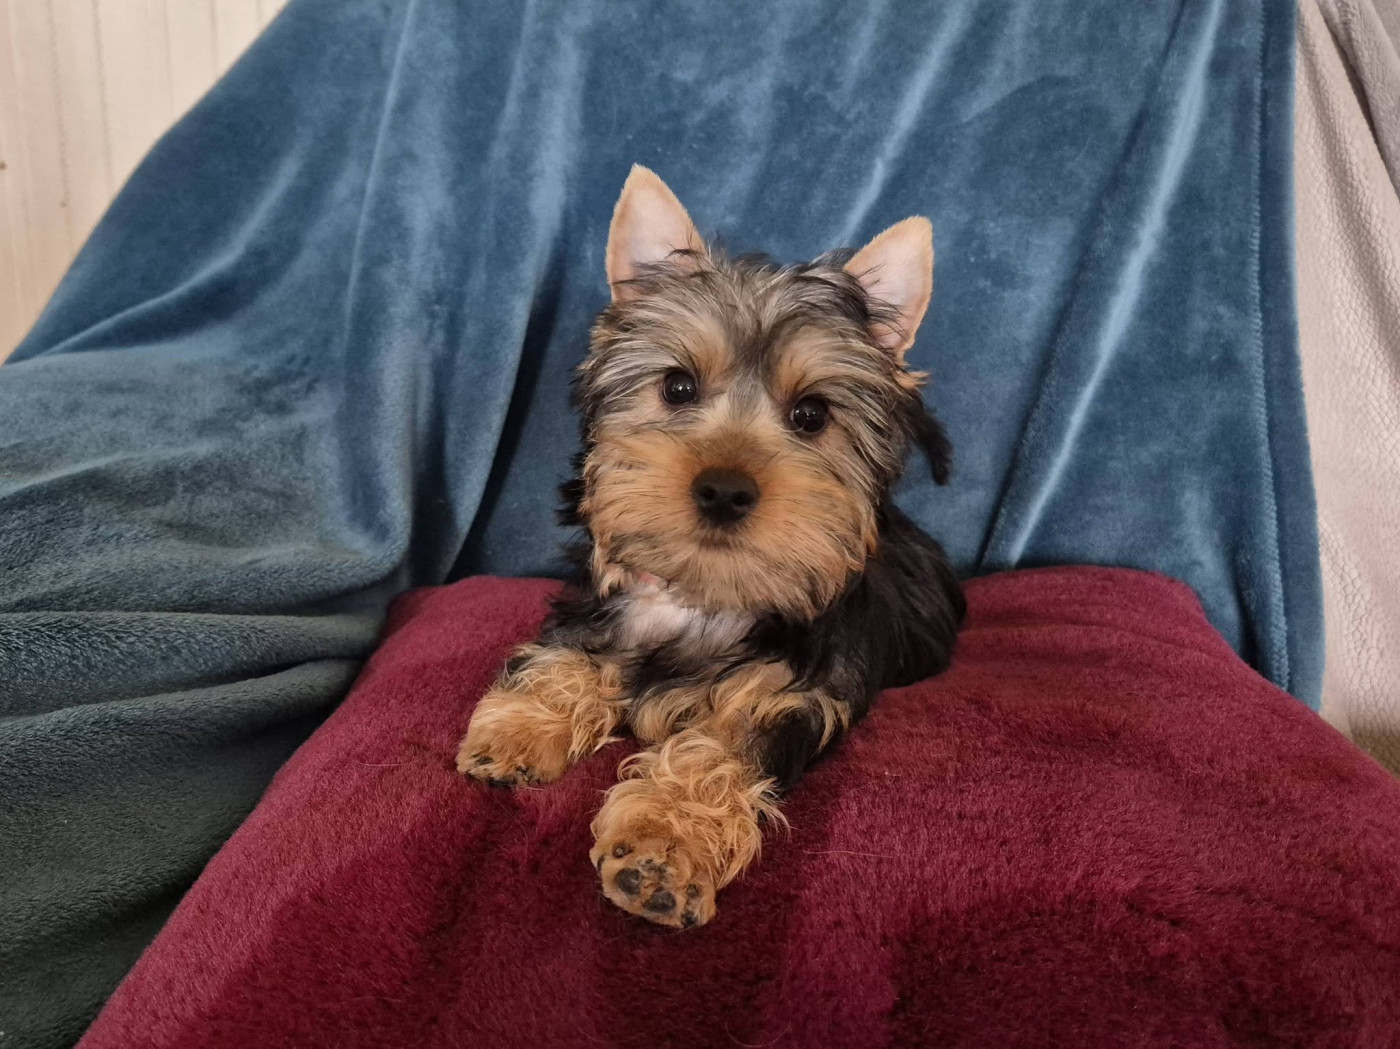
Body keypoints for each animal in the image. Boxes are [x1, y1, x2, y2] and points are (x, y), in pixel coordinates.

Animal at [457, 166, 964, 928]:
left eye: (811, 415)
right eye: (677, 386)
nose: (724, 488)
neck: (703, 595)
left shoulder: (788, 694)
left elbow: (714, 752)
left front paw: (663, 848)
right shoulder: (600, 609)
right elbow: (569, 655)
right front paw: (522, 723)